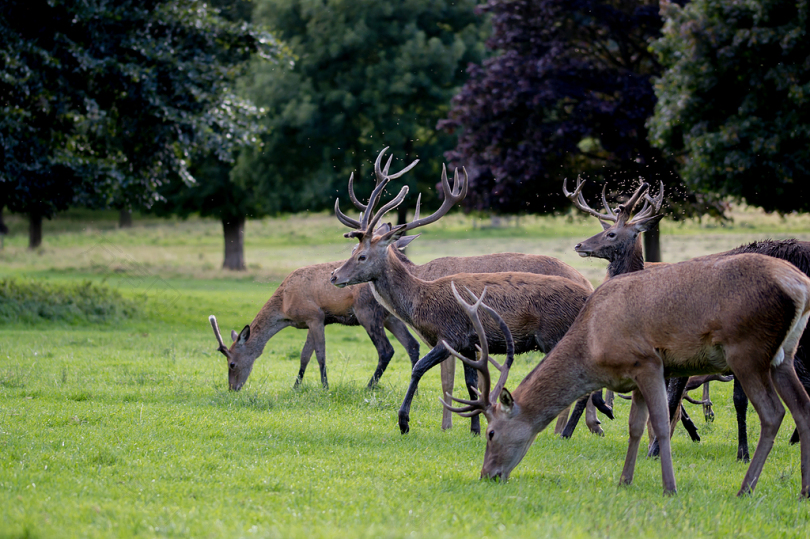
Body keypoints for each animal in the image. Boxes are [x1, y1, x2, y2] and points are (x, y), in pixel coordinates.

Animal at [332, 150, 592, 436]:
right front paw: (475, 429)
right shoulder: (469, 344)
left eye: (362, 256)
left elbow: (420, 369)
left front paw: (404, 421)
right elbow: (471, 384)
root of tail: (589, 289)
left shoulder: (450, 335)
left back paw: (566, 432)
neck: (419, 301)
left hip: (555, 335)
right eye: (352, 251)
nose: (334, 276)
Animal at [438, 253, 808, 498]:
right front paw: (624, 480)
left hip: (747, 350)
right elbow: (634, 427)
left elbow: (661, 424)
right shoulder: (633, 377)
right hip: (784, 356)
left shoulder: (648, 361)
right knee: (802, 407)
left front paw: (669, 487)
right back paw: (803, 490)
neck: (593, 347)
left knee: (773, 413)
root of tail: (799, 284)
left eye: (491, 433)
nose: (487, 475)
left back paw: (745, 488)